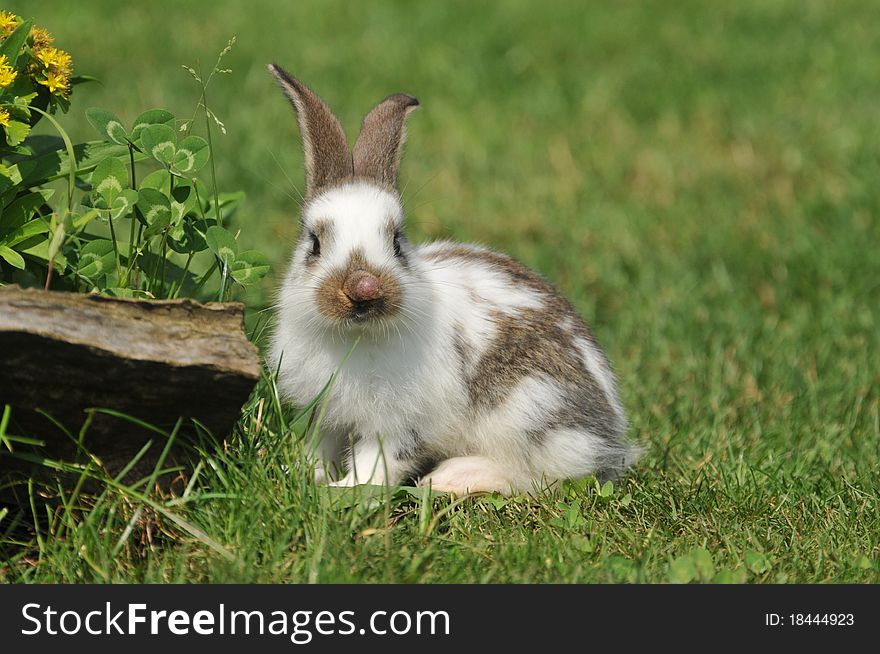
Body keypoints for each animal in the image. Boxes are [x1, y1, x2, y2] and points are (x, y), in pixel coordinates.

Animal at [268, 65, 640, 498]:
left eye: (397, 241)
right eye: (314, 242)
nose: (364, 290)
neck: (355, 337)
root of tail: (608, 437)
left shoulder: (399, 424)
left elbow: (378, 463)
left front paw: (346, 492)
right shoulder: (327, 413)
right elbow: (320, 445)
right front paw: (304, 475)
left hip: (530, 412)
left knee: (536, 477)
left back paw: (453, 478)